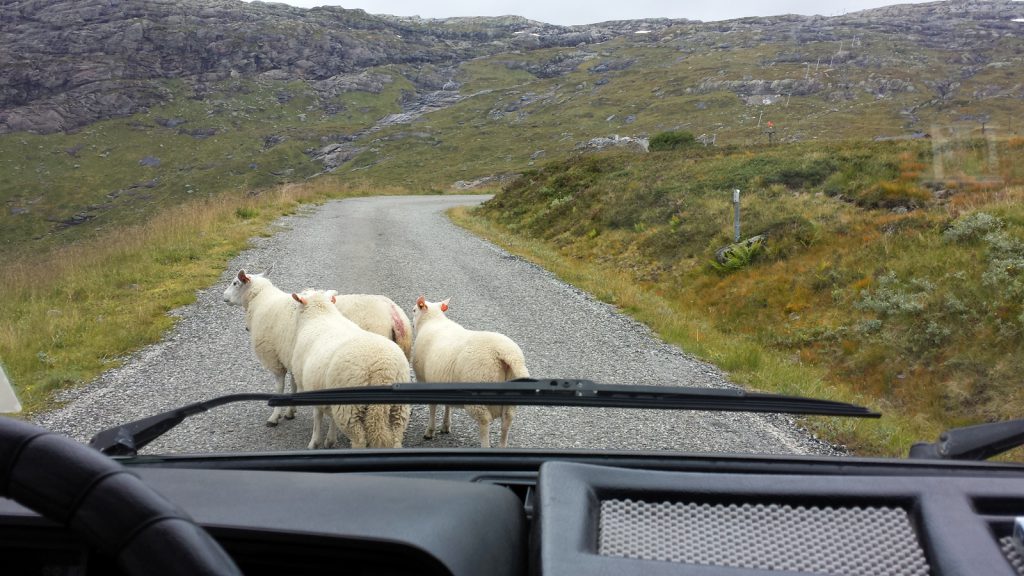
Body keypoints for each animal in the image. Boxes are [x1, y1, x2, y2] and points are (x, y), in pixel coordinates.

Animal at [223, 268, 411, 426]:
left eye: (235, 283)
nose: (223, 297)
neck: (261, 301)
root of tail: (393, 313)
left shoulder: (274, 358)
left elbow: (279, 387)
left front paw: (275, 416)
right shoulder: (294, 356)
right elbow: (293, 383)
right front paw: (290, 411)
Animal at [290, 286, 409, 448]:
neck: (320, 315)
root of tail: (383, 370)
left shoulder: (313, 385)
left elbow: (318, 415)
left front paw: (316, 442)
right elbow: (330, 416)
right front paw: (330, 439)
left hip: (350, 407)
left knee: (359, 439)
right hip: (398, 408)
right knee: (396, 435)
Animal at [413, 295, 532, 448]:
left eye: (414, 310)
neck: (432, 320)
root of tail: (506, 353)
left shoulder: (424, 379)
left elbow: (432, 407)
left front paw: (429, 431)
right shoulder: (445, 377)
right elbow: (447, 405)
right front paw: (445, 426)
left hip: (478, 391)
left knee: (484, 421)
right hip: (510, 400)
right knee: (507, 420)